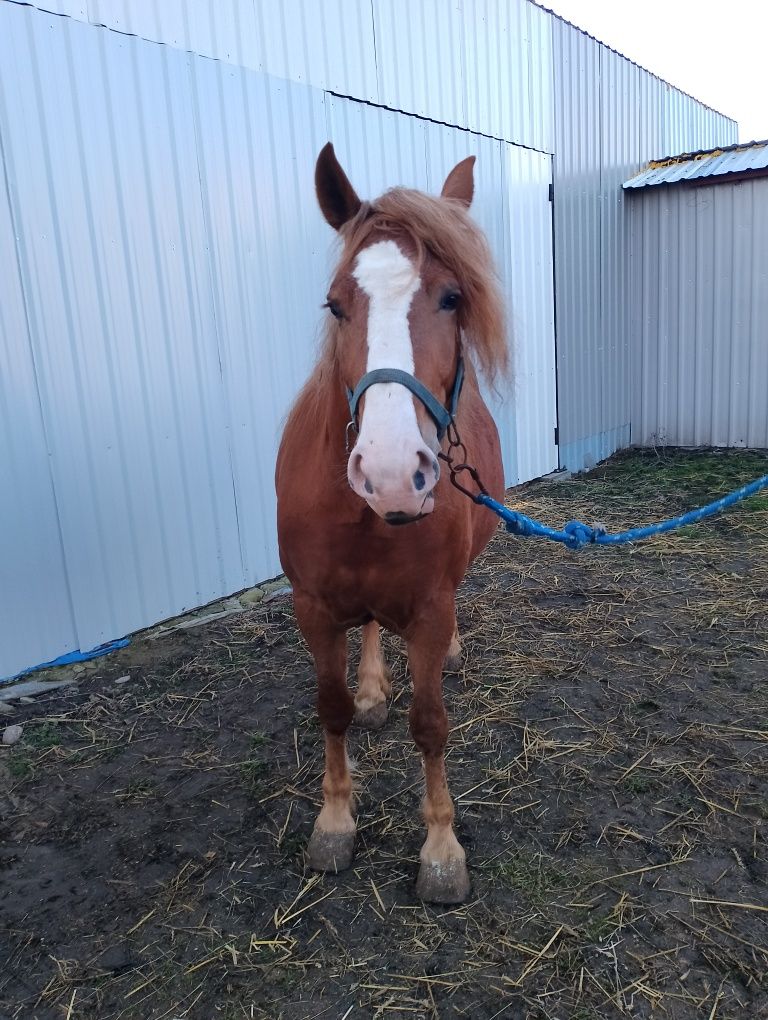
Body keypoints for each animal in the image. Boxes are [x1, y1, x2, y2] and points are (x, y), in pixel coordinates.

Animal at [275, 143, 509, 901]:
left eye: (452, 297)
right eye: (334, 303)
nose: (387, 472)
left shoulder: (430, 607)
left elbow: (430, 724)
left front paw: (441, 849)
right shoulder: (313, 607)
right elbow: (331, 707)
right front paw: (334, 823)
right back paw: (375, 687)